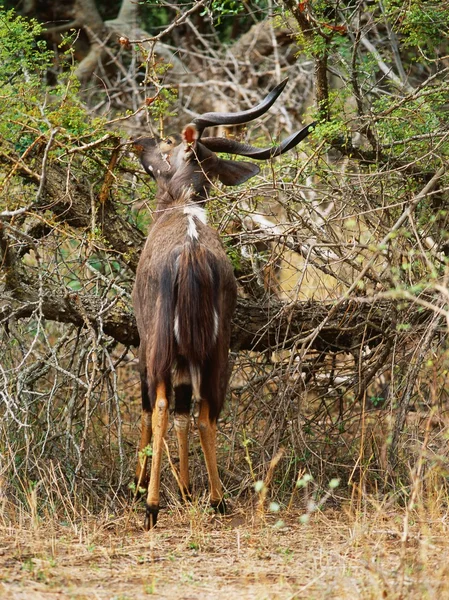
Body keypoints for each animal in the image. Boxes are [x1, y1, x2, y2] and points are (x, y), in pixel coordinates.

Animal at [131, 77, 314, 528]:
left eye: (167, 145)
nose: (140, 142)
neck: (183, 210)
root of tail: (191, 254)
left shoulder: (146, 346)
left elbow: (153, 409)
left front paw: (144, 488)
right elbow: (188, 413)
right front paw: (186, 489)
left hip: (161, 347)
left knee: (162, 405)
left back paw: (152, 506)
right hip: (216, 351)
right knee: (204, 412)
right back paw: (216, 499)